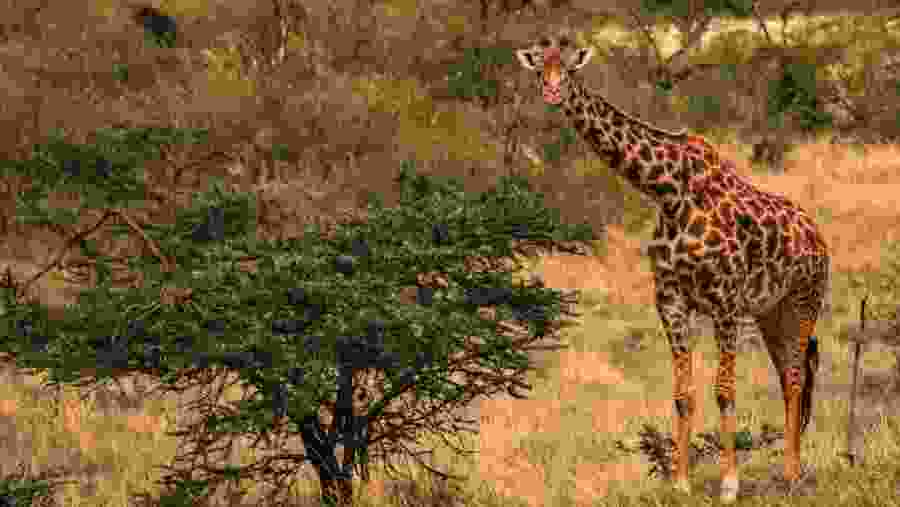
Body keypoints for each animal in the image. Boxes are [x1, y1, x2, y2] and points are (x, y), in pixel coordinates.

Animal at [515, 34, 829, 503]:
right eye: (539, 68)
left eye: (569, 69)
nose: (552, 93)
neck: (666, 190)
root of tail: (818, 236)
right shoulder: (671, 299)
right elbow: (684, 394)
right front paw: (681, 481)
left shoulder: (725, 301)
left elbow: (724, 391)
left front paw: (730, 484)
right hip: (770, 312)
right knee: (789, 374)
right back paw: (788, 468)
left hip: (804, 300)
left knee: (794, 376)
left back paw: (792, 473)